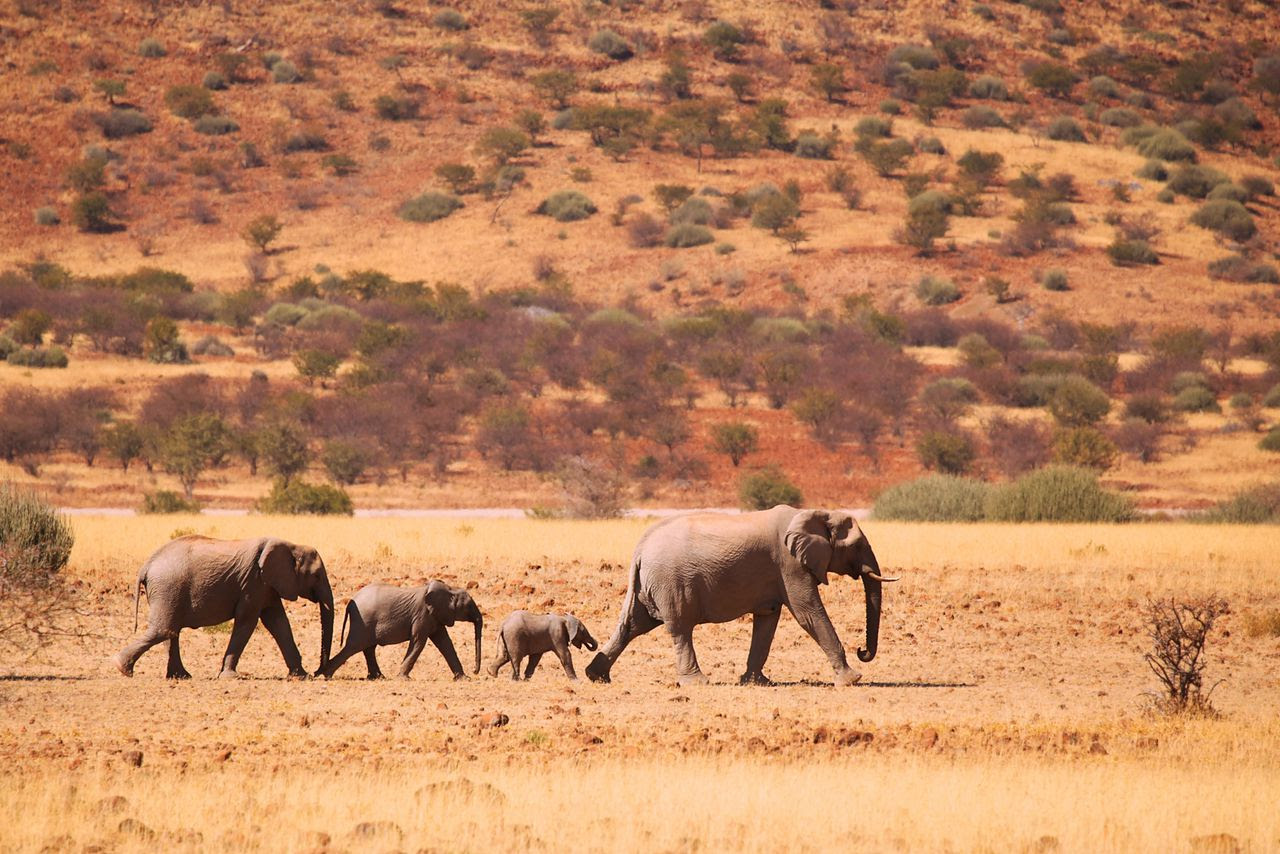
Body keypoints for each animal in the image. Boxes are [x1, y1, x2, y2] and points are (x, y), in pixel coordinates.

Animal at [113, 535, 335, 681]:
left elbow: (278, 623)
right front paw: (230, 677)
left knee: (170, 631)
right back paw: (123, 668)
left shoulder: (267, 586)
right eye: (317, 576)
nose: (319, 673)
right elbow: (248, 622)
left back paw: (180, 676)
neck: (292, 545)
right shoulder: (253, 583)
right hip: (168, 587)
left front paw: (301, 676)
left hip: (166, 591)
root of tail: (146, 566)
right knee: (164, 630)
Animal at [317, 581, 481, 681]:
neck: (450, 589)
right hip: (363, 620)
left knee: (367, 648)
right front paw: (404, 678)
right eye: (469, 606)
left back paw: (378, 677)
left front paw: (463, 679)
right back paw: (327, 675)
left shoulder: (436, 616)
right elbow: (418, 642)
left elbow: (445, 643)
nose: (475, 671)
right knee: (354, 646)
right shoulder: (422, 615)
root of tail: (351, 601)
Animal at [586, 507, 896, 686]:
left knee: (633, 626)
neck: (814, 513)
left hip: (650, 584)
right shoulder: (790, 565)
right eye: (858, 546)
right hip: (670, 582)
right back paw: (697, 682)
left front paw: (756, 682)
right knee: (680, 629)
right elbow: (808, 613)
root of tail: (639, 549)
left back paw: (596, 676)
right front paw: (852, 679)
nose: (862, 651)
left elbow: (768, 620)